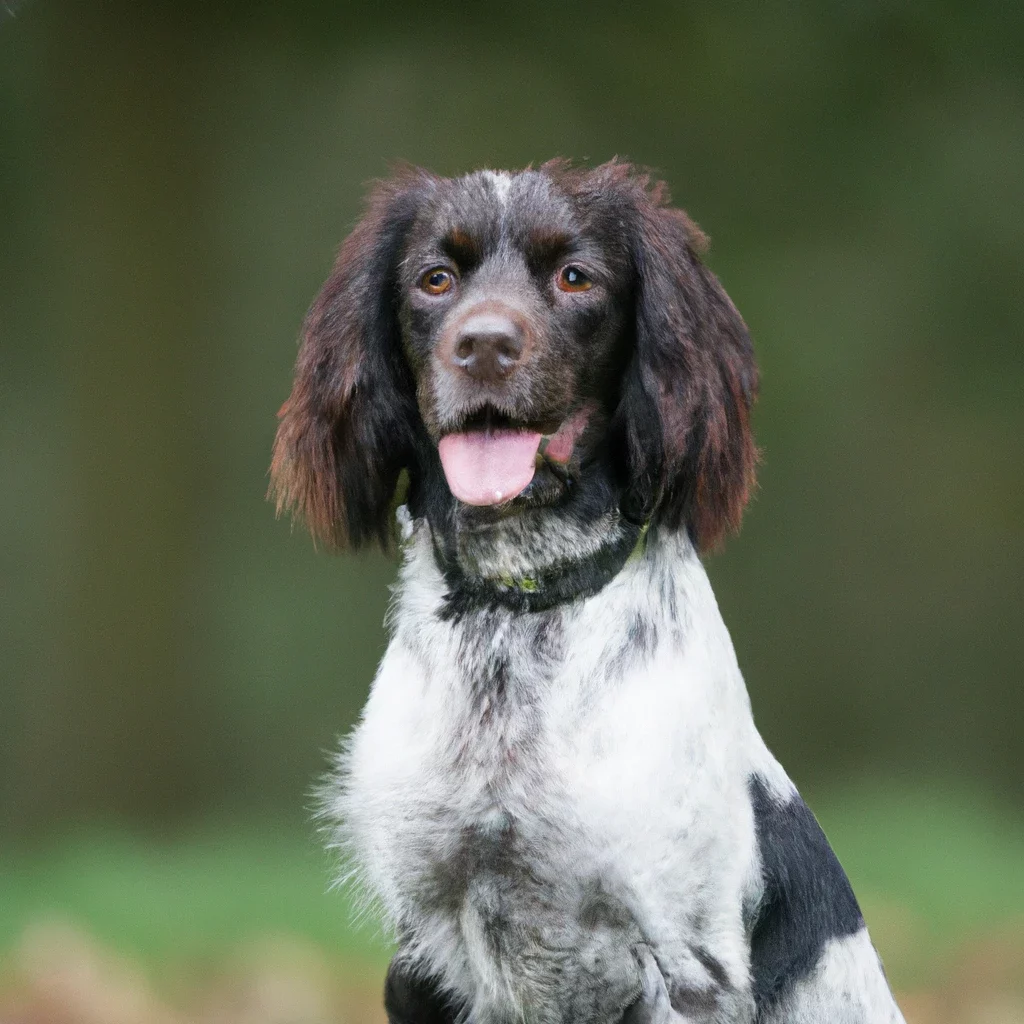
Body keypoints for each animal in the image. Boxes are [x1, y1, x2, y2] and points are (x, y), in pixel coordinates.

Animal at [270, 159, 905, 1024]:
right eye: (435, 279)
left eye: (575, 277)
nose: (484, 345)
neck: (518, 606)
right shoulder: (421, 952)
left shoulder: (687, 963)